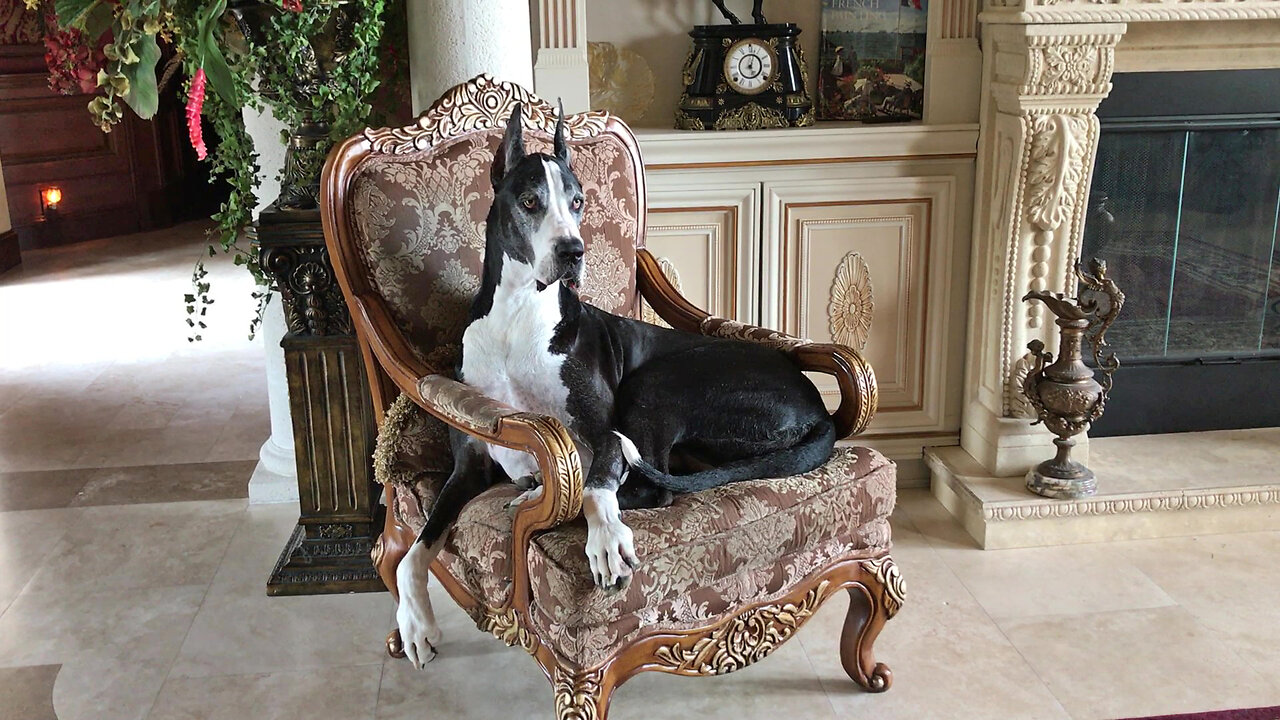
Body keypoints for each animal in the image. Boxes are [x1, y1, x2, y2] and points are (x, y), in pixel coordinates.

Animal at [394, 102, 834, 666]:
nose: (573, 250)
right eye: (531, 201)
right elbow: (412, 552)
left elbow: (596, 488)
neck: (518, 312)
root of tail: (816, 405)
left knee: (650, 487)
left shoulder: (604, 435)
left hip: (658, 383)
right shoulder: (468, 461)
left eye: (578, 202)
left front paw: (604, 537)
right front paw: (414, 622)